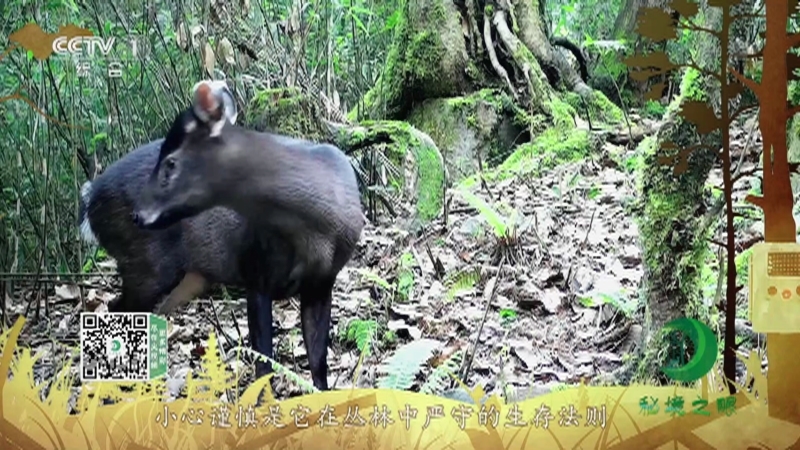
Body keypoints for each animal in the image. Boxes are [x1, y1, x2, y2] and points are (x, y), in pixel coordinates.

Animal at [131, 80, 365, 391]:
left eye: (170, 163)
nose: (137, 213)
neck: (315, 235)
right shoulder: (257, 273)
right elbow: (263, 361)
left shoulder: (322, 282)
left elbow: (317, 360)